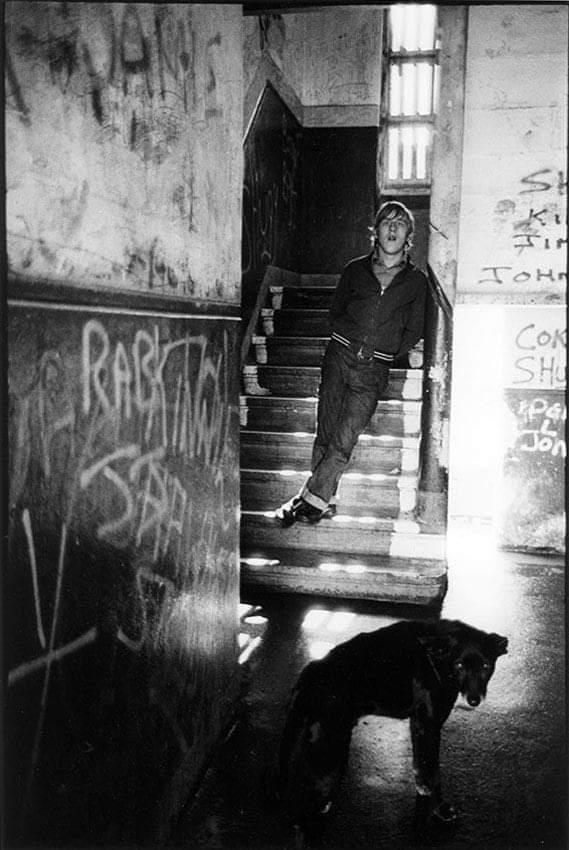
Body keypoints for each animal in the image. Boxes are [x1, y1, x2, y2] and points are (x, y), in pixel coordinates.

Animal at [278, 616, 508, 840]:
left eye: (486, 666)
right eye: (459, 665)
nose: (474, 700)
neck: (436, 658)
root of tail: (307, 677)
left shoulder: (418, 726)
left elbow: (422, 767)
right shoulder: (428, 725)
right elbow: (433, 771)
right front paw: (440, 810)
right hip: (329, 754)